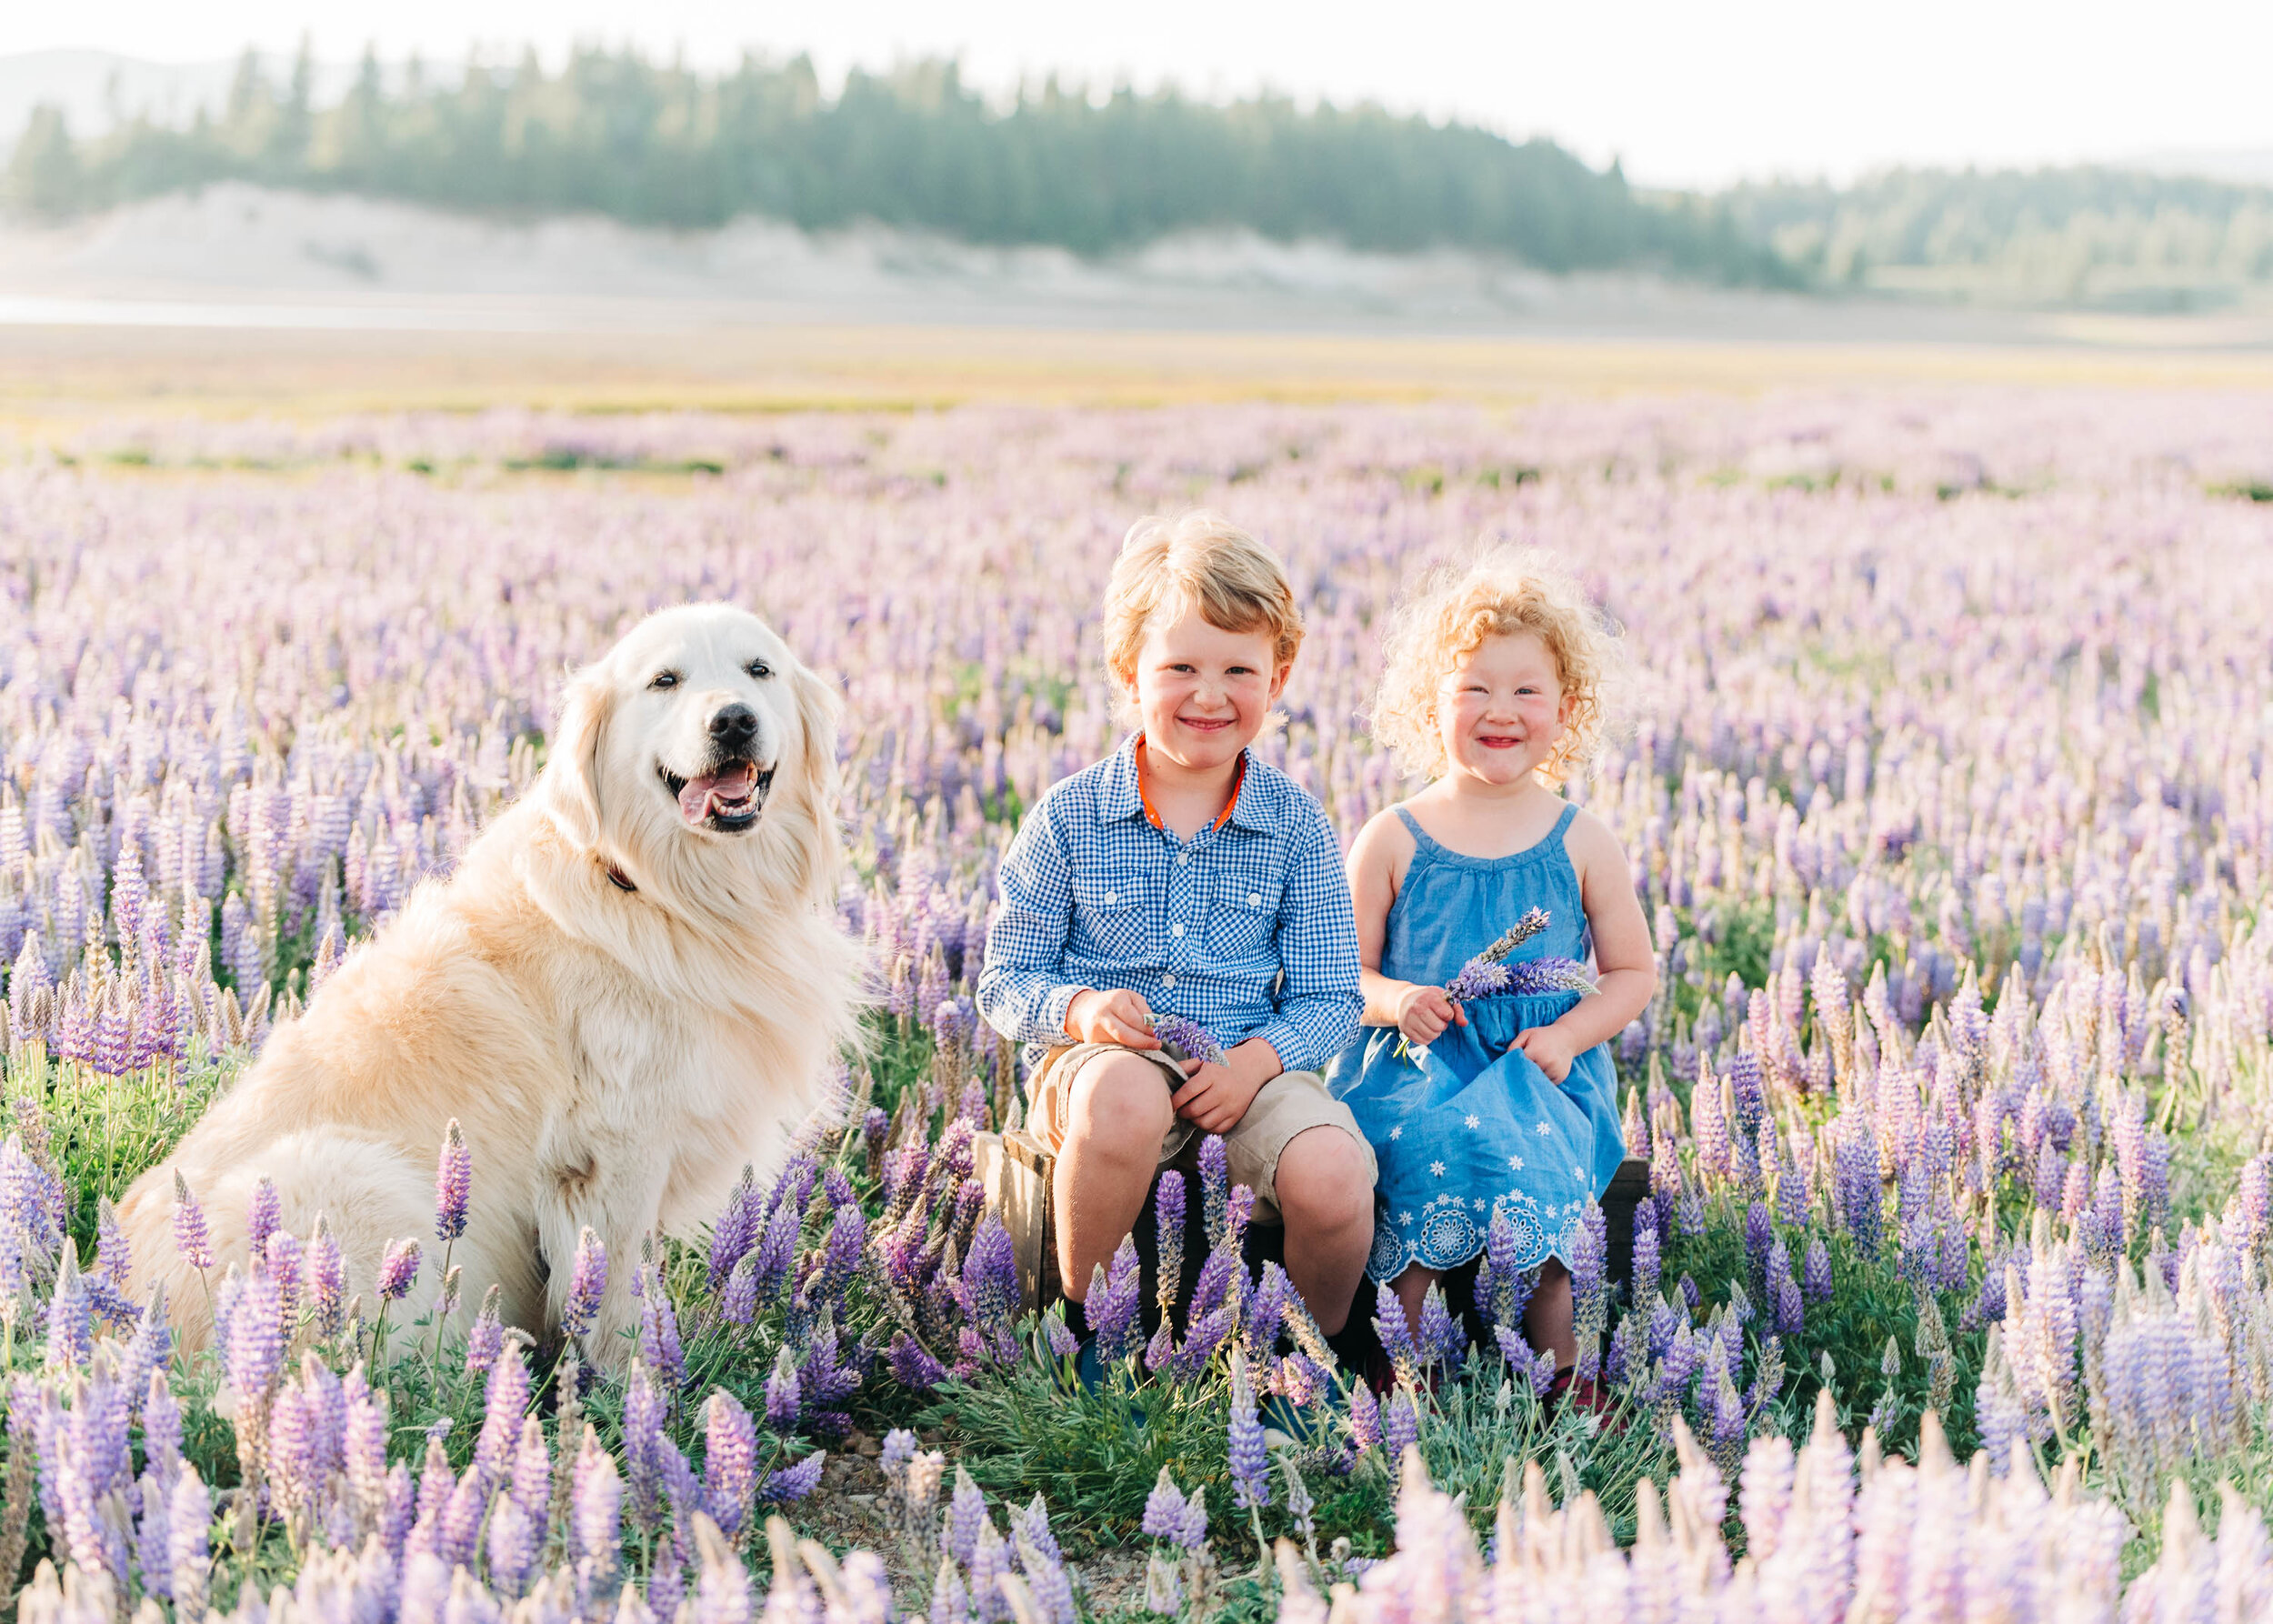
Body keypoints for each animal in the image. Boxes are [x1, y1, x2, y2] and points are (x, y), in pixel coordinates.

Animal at [117, 600, 859, 1355]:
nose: (733, 720)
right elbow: (616, 1301)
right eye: (665, 680)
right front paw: (638, 1379)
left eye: (759, 670)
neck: (657, 889)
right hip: (354, 1182)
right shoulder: (618, 1153)